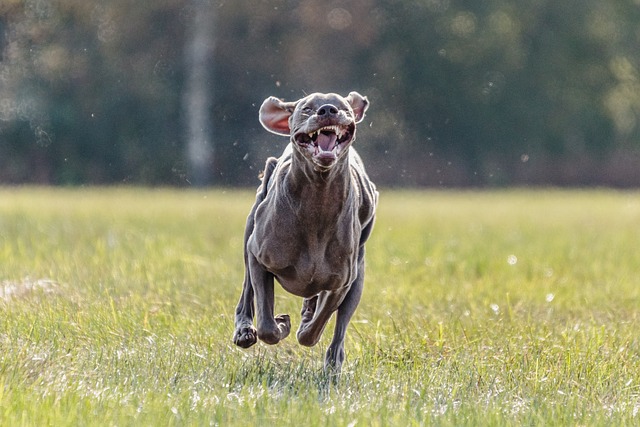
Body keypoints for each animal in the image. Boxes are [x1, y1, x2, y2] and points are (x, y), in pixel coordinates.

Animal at [232, 92, 378, 372]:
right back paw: (244, 331)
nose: (328, 110)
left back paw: (332, 363)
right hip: (251, 225)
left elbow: (313, 331)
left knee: (339, 324)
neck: (317, 202)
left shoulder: (341, 281)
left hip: (358, 275)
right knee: (246, 292)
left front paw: (305, 324)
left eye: (343, 107)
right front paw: (281, 324)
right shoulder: (258, 256)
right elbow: (266, 325)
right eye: (307, 108)